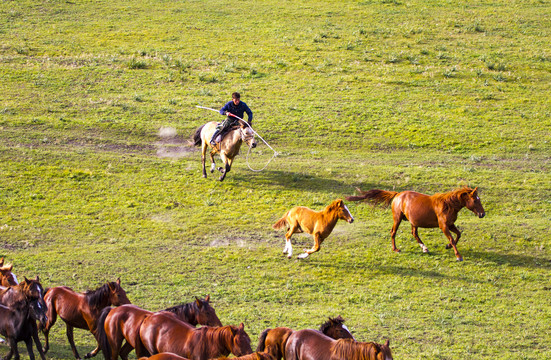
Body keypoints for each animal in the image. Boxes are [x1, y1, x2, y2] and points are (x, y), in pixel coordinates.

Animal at [348, 187, 486, 260]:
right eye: (475, 200)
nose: (482, 214)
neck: (448, 204)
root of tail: (397, 194)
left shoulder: (450, 224)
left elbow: (458, 235)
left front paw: (447, 246)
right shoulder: (443, 226)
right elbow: (452, 239)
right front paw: (458, 255)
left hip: (413, 222)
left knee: (414, 233)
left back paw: (424, 248)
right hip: (397, 218)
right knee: (393, 232)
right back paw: (395, 249)